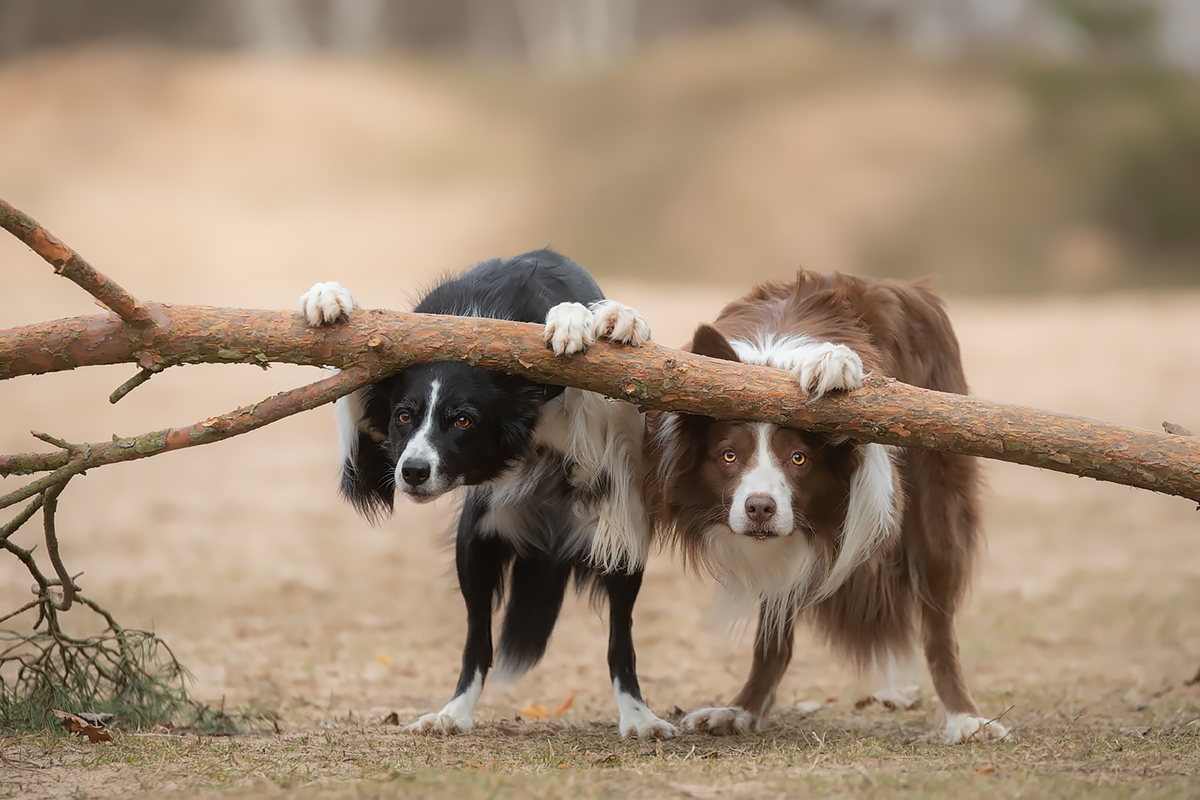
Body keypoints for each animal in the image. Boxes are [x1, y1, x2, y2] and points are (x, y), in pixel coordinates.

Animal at [300, 250, 676, 738]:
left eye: (463, 420)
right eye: (404, 416)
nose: (413, 472)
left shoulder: (612, 434)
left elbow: (613, 398)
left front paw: (603, 318)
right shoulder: (368, 451)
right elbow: (355, 383)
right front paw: (329, 297)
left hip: (620, 551)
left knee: (620, 640)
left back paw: (638, 717)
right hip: (476, 545)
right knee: (478, 641)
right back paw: (452, 713)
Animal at [648, 271, 1003, 743]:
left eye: (798, 459)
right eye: (729, 455)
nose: (760, 508)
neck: (772, 360)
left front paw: (834, 363)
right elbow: (772, 633)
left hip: (937, 507)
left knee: (939, 622)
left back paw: (965, 717)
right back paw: (743, 709)